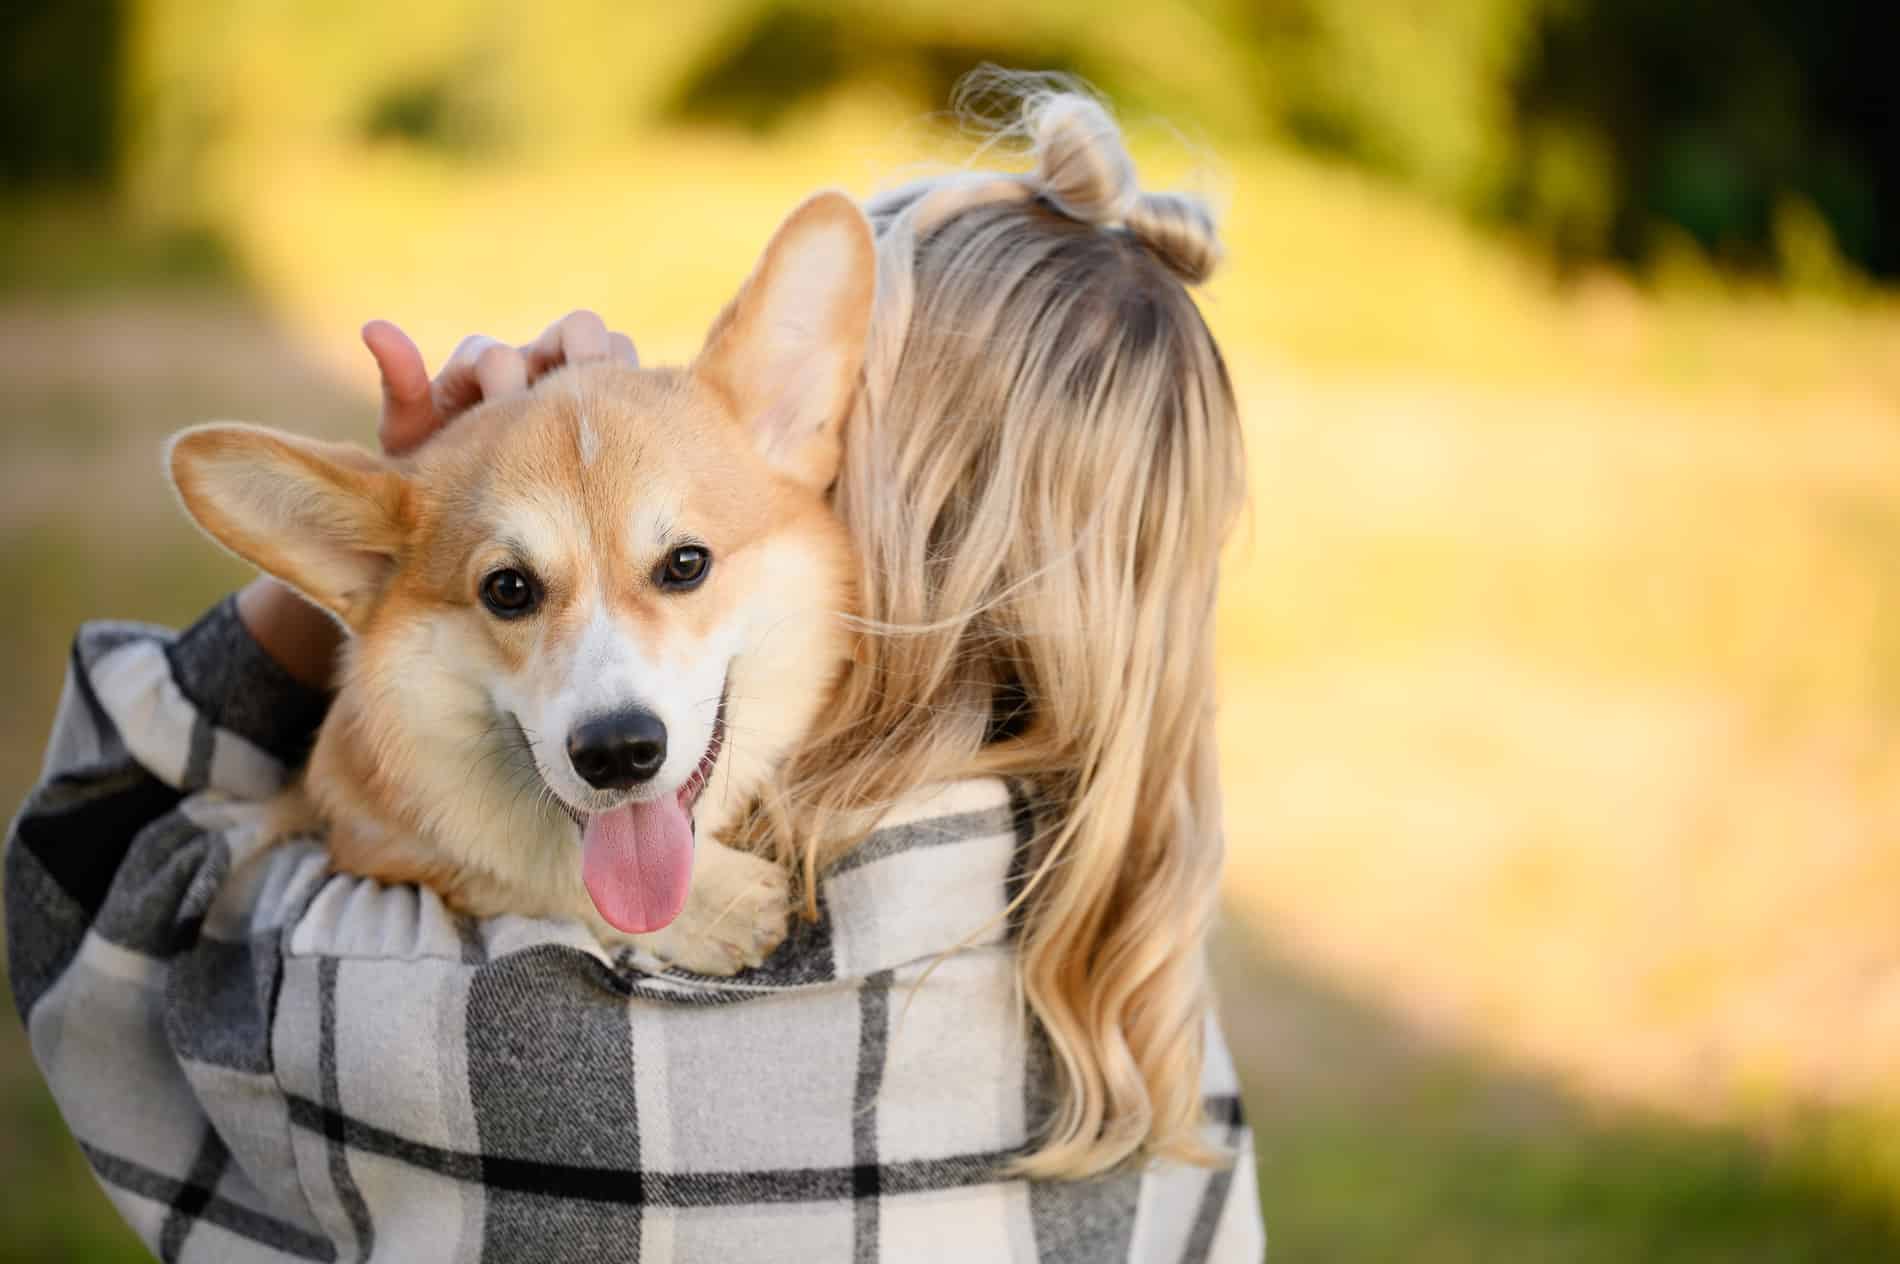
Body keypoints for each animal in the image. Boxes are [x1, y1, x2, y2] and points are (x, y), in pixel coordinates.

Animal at [165, 191, 874, 969]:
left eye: (687, 563)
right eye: (508, 590)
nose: (616, 754)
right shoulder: (363, 829)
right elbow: (527, 868)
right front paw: (718, 905)